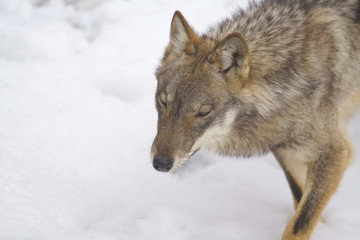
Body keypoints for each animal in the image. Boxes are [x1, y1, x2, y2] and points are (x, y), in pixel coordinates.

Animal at [150, 0, 360, 239]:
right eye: (163, 101)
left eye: (203, 112)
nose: (161, 163)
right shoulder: (284, 148)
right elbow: (300, 198)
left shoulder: (335, 151)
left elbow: (299, 223)